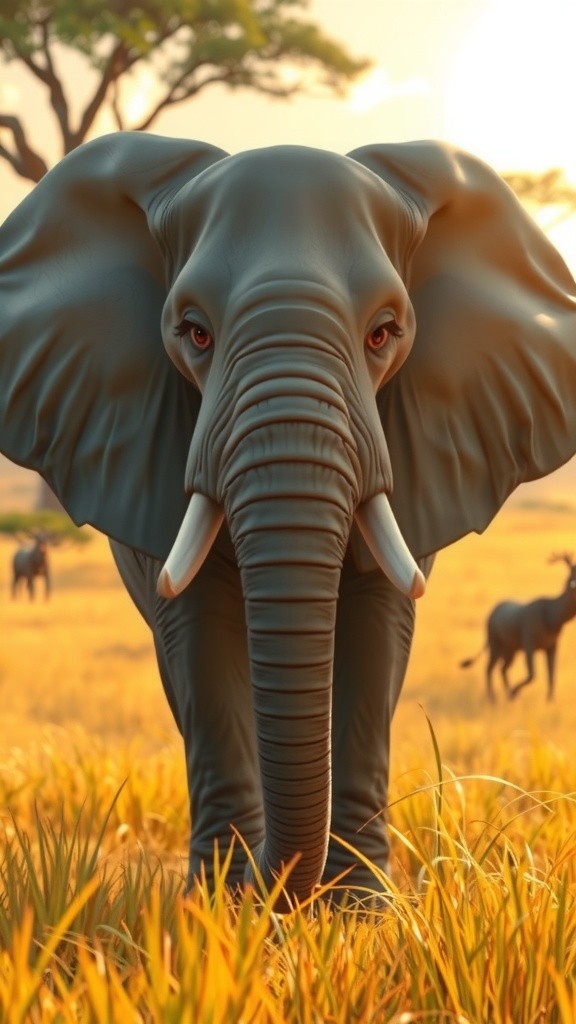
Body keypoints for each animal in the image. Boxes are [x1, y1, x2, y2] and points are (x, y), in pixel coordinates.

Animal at [1, 132, 575, 908]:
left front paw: (359, 912)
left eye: (384, 333)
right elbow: (198, 634)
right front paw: (222, 908)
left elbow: (377, 629)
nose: (269, 890)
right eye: (194, 333)